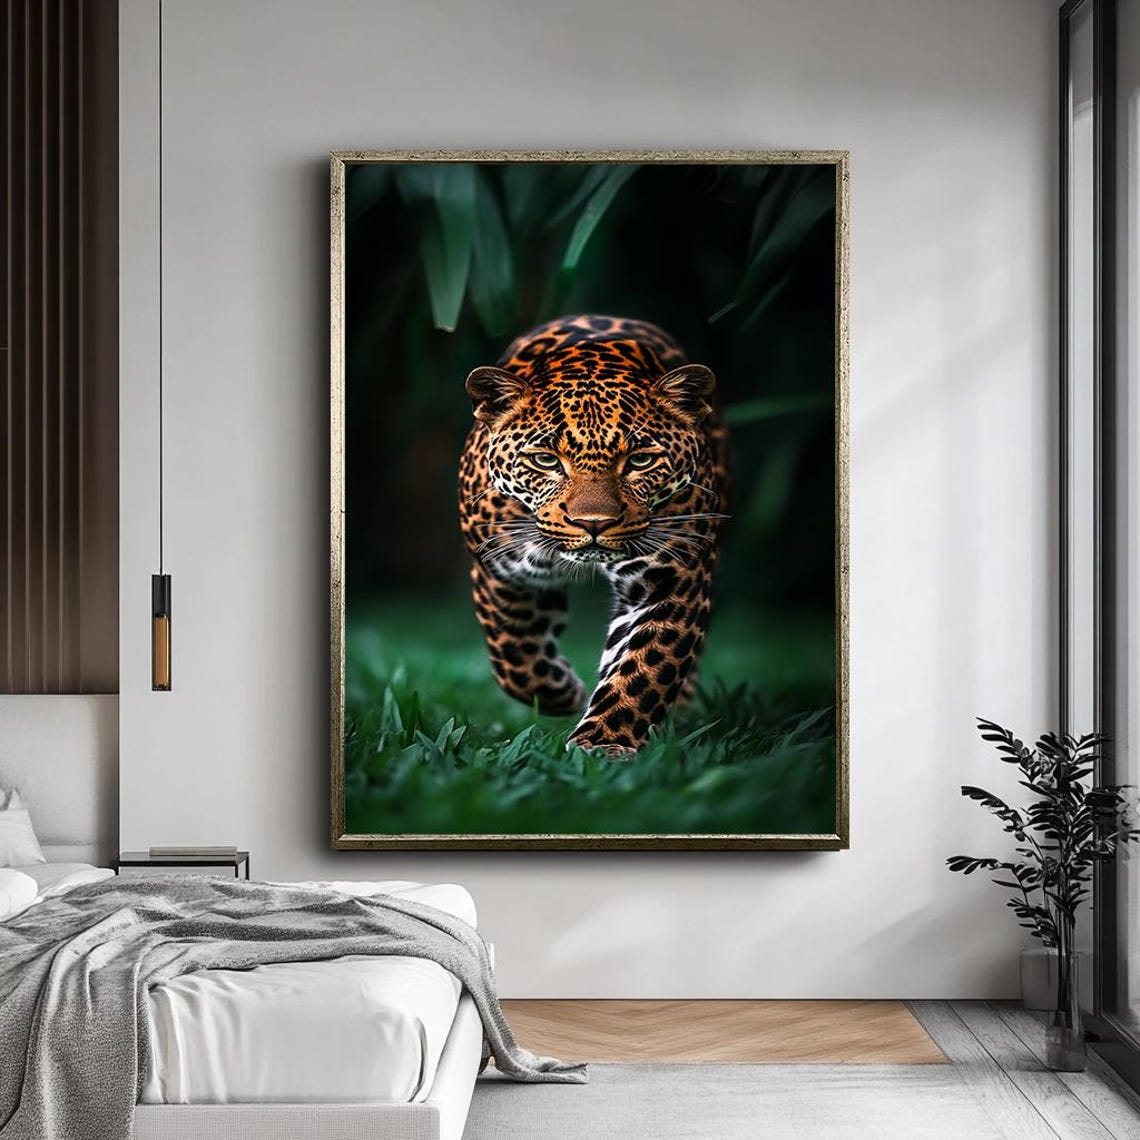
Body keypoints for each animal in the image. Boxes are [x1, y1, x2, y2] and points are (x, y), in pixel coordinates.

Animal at [457, 314, 729, 756]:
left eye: (640, 460)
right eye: (545, 460)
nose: (594, 523)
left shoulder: (673, 577)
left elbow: (644, 668)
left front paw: (602, 743)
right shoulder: (498, 570)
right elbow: (512, 650)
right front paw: (561, 692)